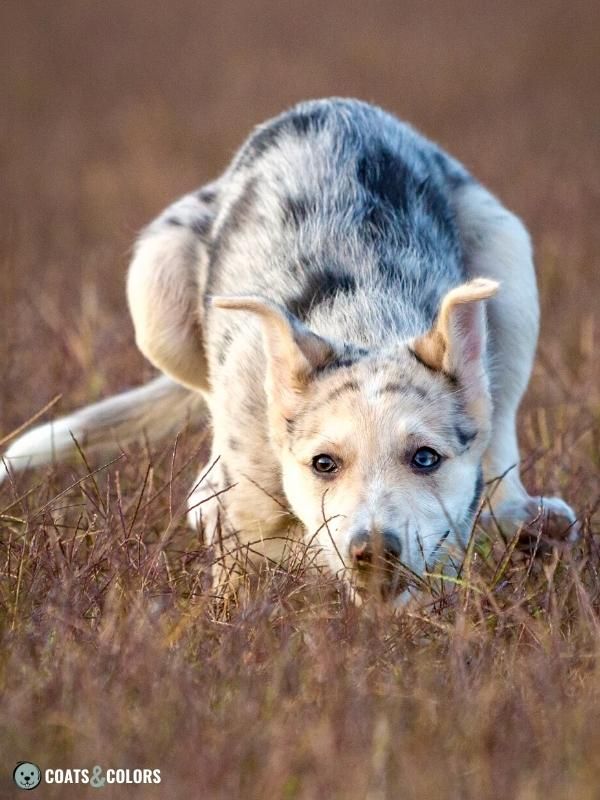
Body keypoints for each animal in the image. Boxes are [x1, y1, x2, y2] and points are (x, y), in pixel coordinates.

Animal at [0, 100, 576, 600]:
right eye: (324, 463)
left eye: (426, 458)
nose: (373, 552)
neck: (366, 322)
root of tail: (337, 105)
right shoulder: (247, 512)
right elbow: (237, 581)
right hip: (155, 287)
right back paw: (204, 491)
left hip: (509, 263)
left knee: (500, 429)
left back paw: (527, 518)